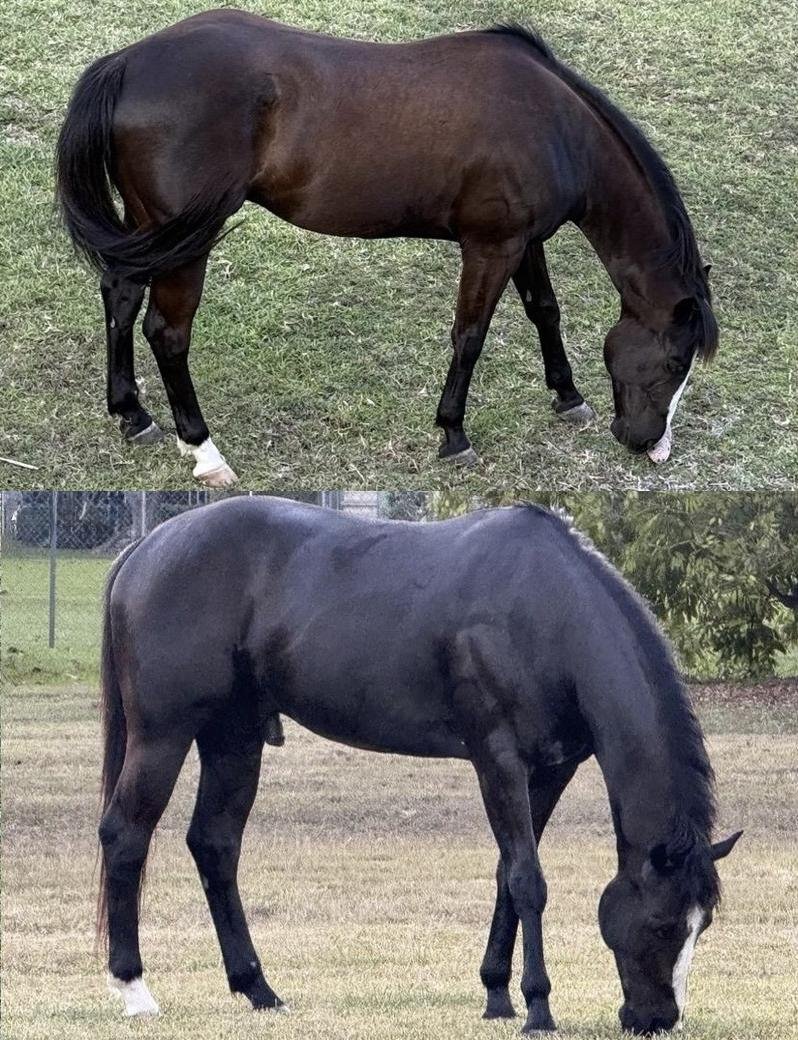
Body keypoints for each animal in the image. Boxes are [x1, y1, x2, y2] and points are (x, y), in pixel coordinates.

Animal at [56, 15, 719, 487]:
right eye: (673, 363)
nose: (650, 447)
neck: (553, 124)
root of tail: (125, 63)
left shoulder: (524, 241)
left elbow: (543, 311)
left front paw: (568, 395)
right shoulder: (490, 248)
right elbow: (470, 336)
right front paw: (453, 434)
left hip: (148, 232)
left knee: (119, 294)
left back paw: (133, 415)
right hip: (184, 243)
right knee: (167, 333)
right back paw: (203, 450)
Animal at [97, 496, 740, 1034]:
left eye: (701, 924)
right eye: (662, 925)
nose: (657, 1020)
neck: (545, 613)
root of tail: (148, 547)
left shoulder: (549, 772)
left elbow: (507, 875)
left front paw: (497, 996)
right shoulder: (497, 760)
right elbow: (528, 880)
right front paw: (537, 1008)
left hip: (234, 738)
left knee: (215, 845)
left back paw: (258, 989)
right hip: (163, 735)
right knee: (125, 836)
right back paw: (135, 990)